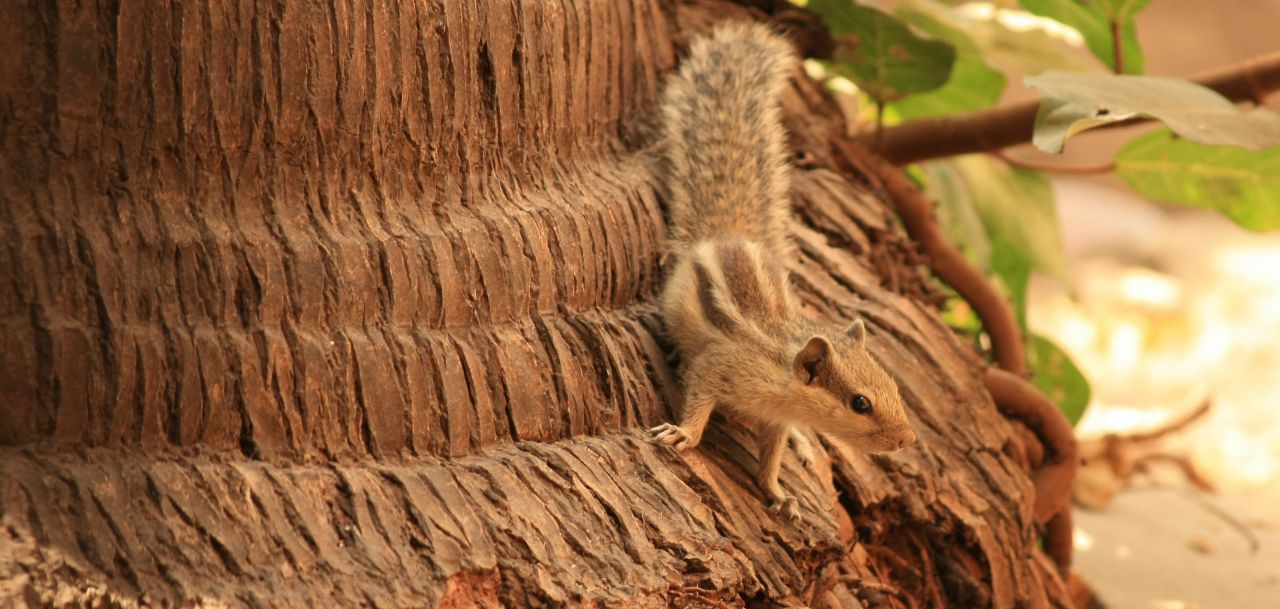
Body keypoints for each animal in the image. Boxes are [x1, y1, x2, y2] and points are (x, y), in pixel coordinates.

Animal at [650, 22, 921, 519]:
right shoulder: (721, 367)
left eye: (894, 386)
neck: (784, 381)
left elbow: (771, 456)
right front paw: (685, 434)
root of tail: (729, 231)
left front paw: (778, 491)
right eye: (860, 402)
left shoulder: (775, 419)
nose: (905, 439)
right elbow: (699, 397)